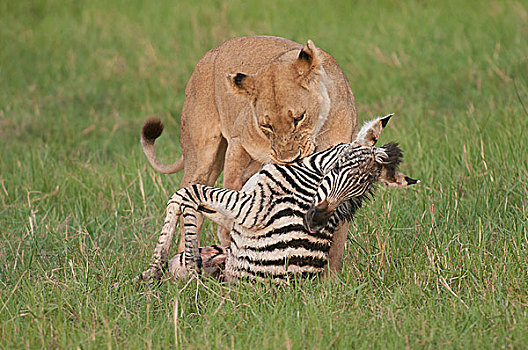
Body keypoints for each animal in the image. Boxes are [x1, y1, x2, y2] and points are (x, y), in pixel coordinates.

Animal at [139, 113, 416, 284]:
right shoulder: (240, 210)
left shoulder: (253, 207)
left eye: (356, 192)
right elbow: (183, 198)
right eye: (338, 168)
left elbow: (189, 194)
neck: (307, 171)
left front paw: (177, 263)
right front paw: (156, 268)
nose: (314, 222)